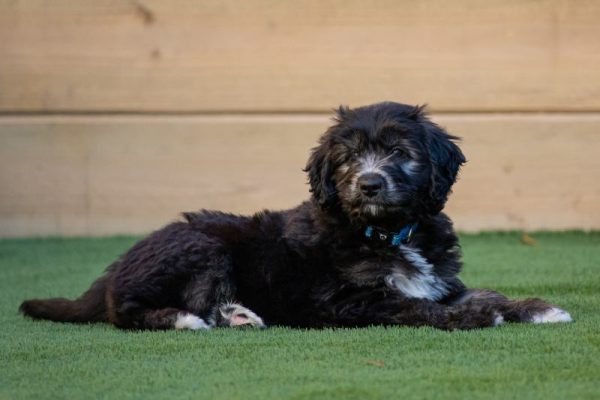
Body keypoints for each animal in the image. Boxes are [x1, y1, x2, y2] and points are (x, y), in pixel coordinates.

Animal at [19, 101, 572, 330]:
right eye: (348, 158)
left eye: (399, 152)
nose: (369, 183)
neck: (387, 231)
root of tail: (115, 266)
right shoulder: (340, 301)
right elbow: (409, 305)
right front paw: (475, 318)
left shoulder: (439, 280)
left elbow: (475, 291)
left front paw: (535, 307)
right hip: (201, 245)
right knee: (126, 310)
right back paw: (184, 320)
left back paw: (236, 315)